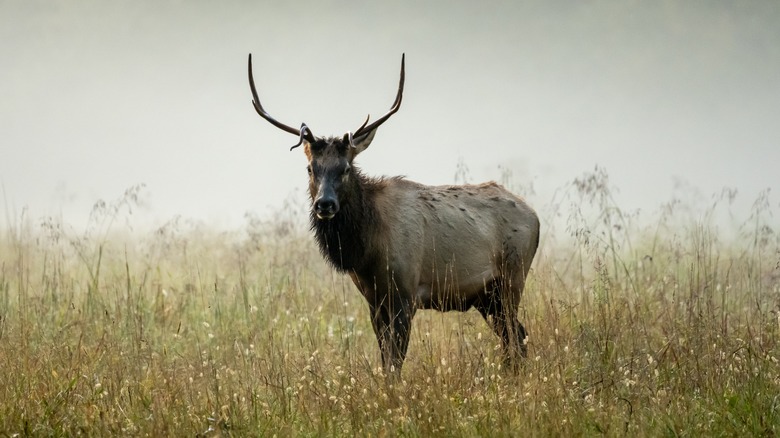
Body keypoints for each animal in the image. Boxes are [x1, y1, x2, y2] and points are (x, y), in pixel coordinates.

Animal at [247, 53, 540, 375]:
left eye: (345, 168)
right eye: (311, 169)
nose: (325, 204)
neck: (367, 250)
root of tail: (536, 217)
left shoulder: (405, 292)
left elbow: (395, 362)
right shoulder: (373, 299)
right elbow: (385, 359)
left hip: (512, 278)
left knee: (516, 335)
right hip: (486, 296)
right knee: (517, 336)